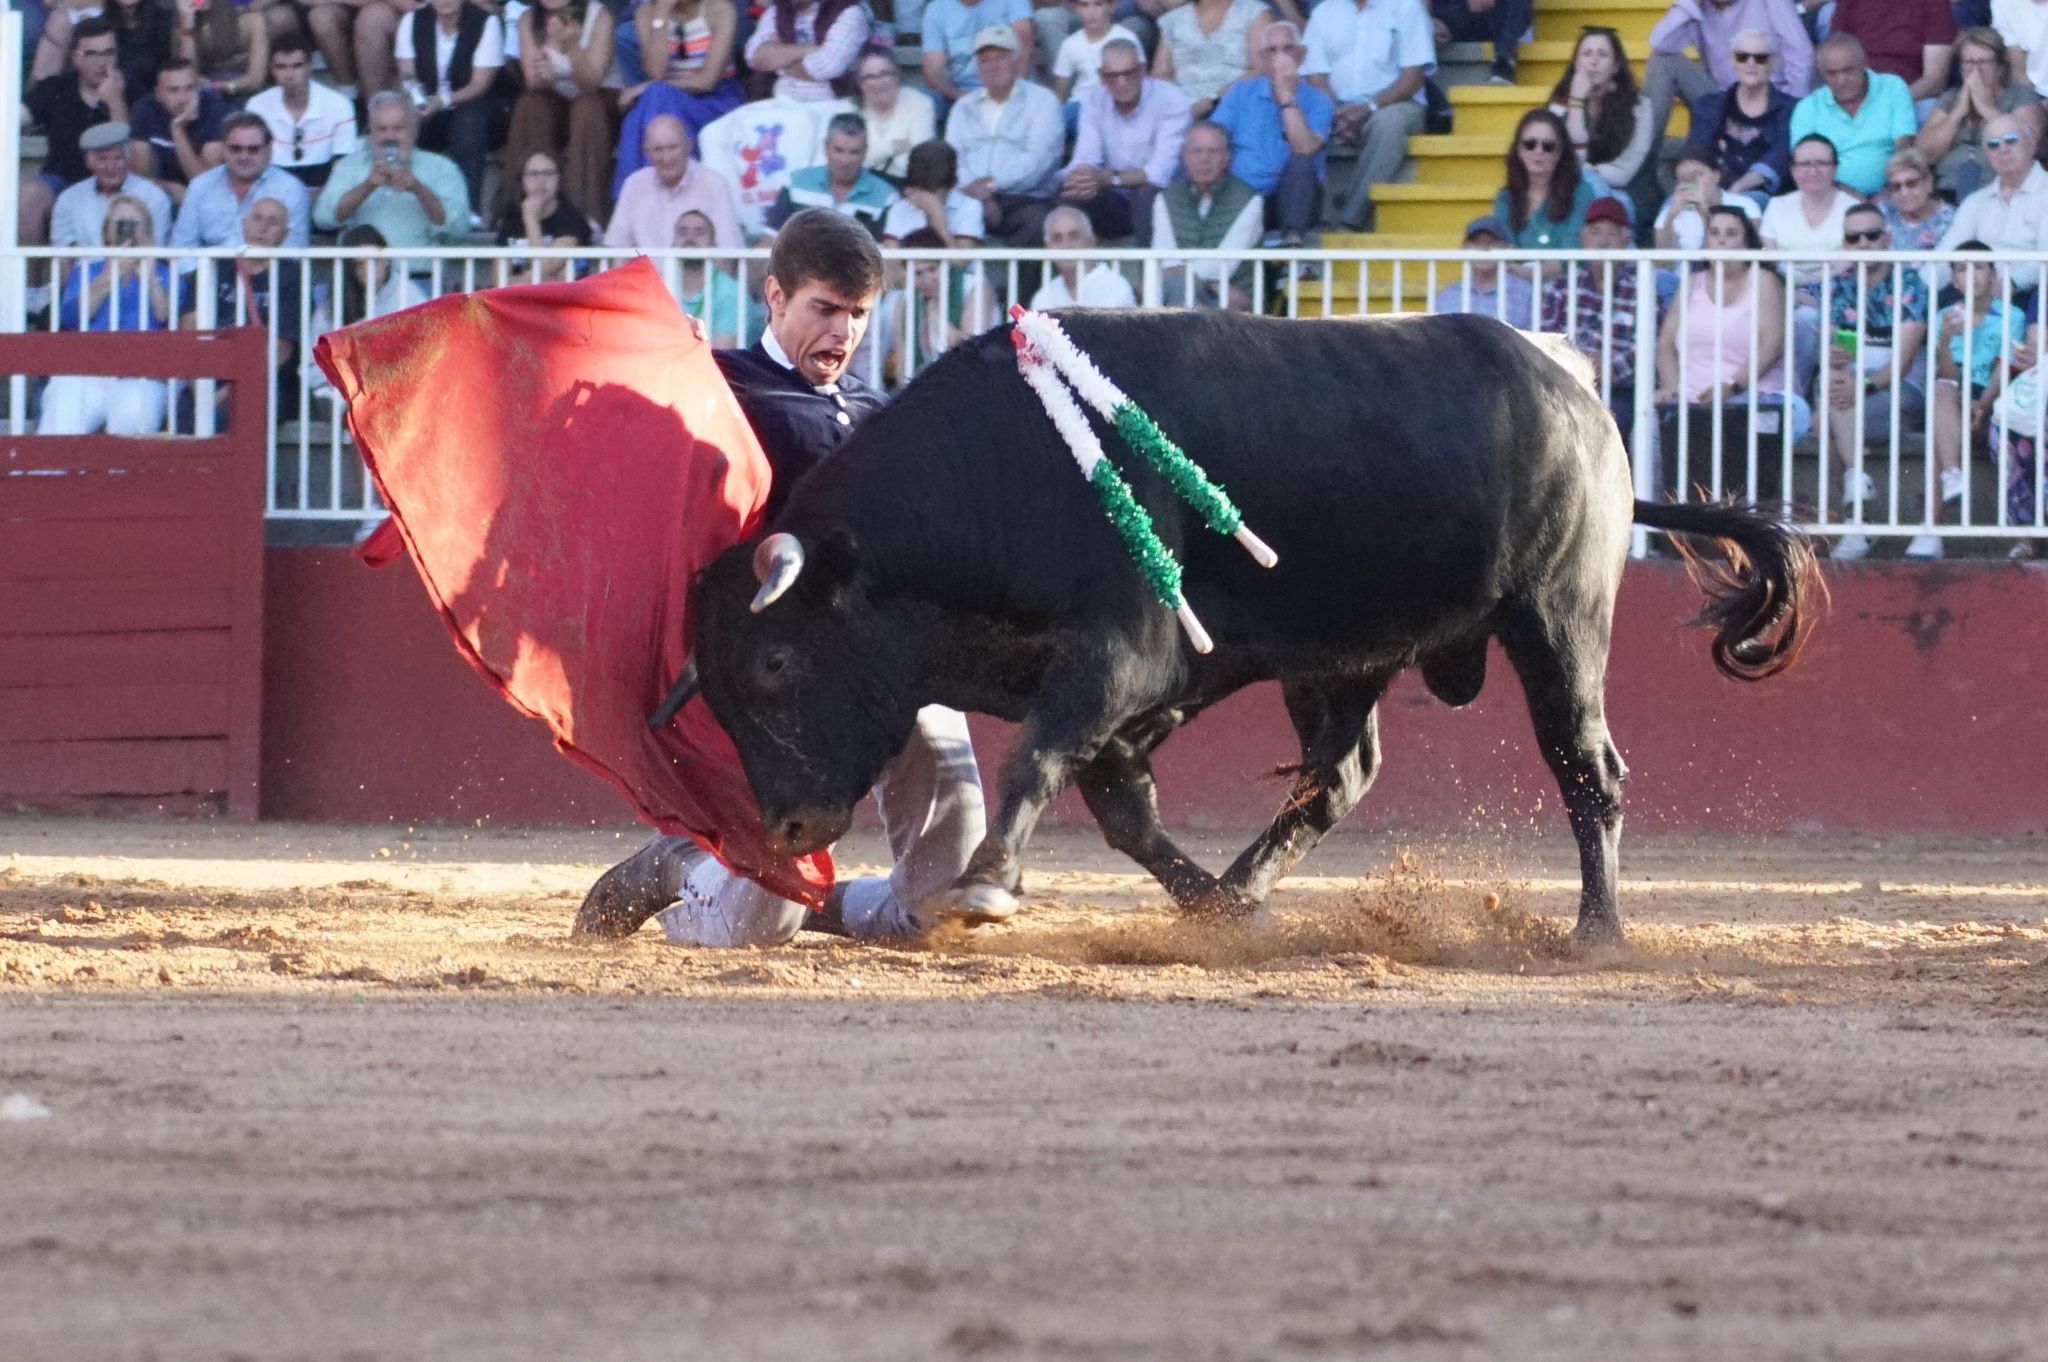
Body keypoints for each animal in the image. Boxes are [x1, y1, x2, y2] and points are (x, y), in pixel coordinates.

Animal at [679, 311, 1818, 942]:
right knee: (1338, 778)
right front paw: (1214, 909)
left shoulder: (1127, 657)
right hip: (1345, 659)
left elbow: (1036, 762)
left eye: (775, 660)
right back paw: (1242, 894)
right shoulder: (1148, 687)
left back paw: (1597, 929)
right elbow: (1120, 807)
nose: (786, 828)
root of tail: (1573, 386)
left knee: (1588, 770)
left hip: (1559, 623)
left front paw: (984, 887)